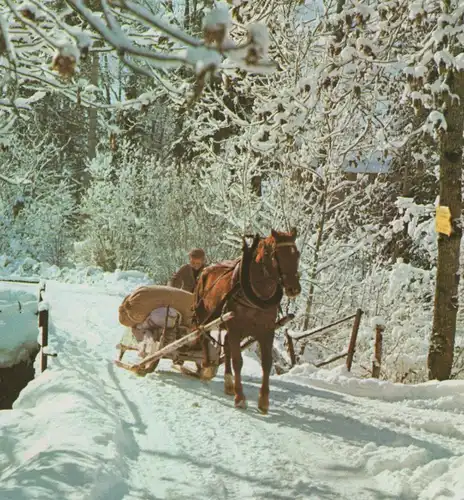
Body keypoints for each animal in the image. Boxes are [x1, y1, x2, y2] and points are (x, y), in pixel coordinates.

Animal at [192, 229, 300, 412]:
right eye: (277, 255)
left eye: (297, 254)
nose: (294, 288)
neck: (257, 294)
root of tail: (204, 272)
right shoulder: (235, 328)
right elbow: (238, 361)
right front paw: (240, 398)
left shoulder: (266, 330)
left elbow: (266, 363)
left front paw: (263, 400)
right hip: (204, 316)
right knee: (203, 336)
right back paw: (206, 368)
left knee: (226, 344)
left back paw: (228, 383)